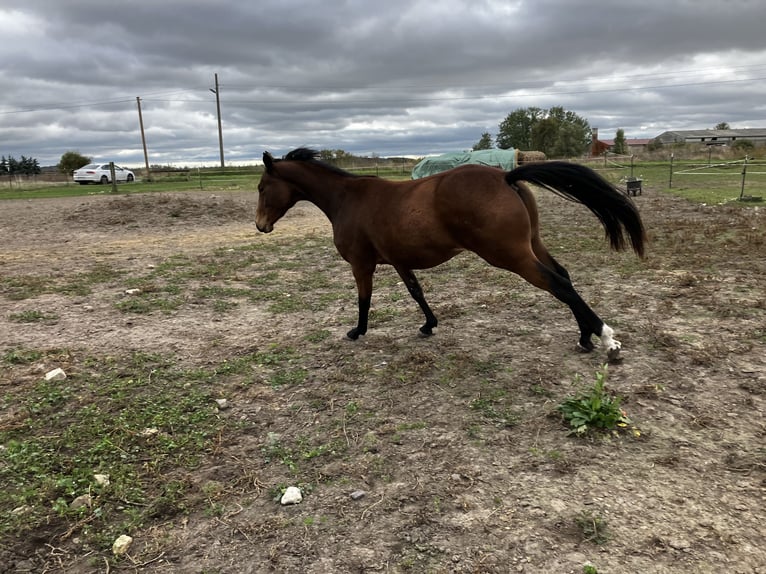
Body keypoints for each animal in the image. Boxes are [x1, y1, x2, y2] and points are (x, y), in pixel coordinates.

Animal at [258, 151, 648, 362]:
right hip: (532, 245)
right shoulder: (400, 261)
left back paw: (607, 339)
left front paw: (358, 331)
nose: (260, 226)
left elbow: (364, 299)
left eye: (263, 186)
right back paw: (585, 337)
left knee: (558, 284)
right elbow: (416, 292)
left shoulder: (361, 263)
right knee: (564, 277)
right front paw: (429, 325)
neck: (347, 199)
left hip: (509, 255)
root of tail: (506, 176)